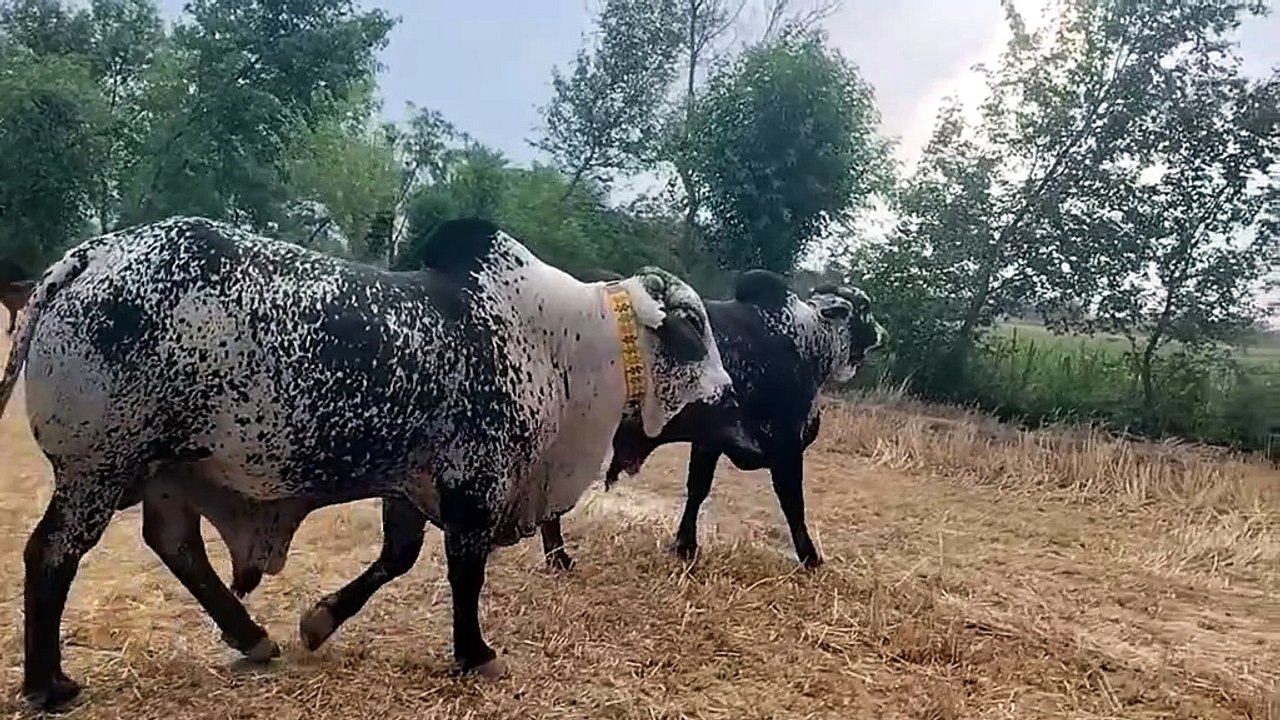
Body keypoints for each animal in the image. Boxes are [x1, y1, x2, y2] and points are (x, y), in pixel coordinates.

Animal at [0, 215, 760, 711]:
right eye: (694, 328)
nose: (735, 403)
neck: (566, 345)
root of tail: (91, 253)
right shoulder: (474, 486)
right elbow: (463, 575)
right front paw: (474, 653)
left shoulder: (412, 483)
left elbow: (396, 559)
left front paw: (318, 622)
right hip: (100, 468)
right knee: (52, 554)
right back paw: (47, 684)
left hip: (163, 473)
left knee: (176, 545)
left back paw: (253, 639)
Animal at [538, 269, 885, 571]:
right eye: (864, 308)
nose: (882, 332)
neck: (806, 339)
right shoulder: (786, 447)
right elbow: (793, 503)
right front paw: (810, 557)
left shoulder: (710, 443)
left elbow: (697, 490)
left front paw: (685, 546)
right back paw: (559, 558)